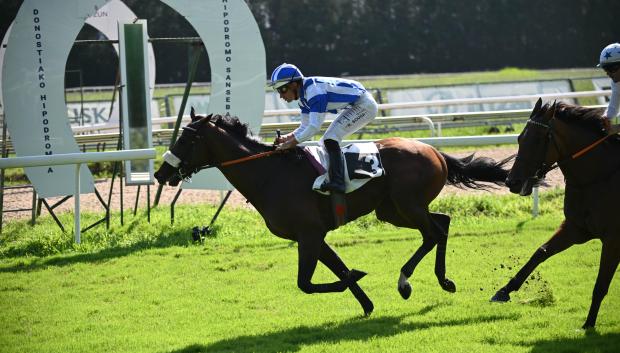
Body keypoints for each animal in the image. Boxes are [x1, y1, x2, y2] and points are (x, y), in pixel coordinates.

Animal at [156, 108, 512, 314]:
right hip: (393, 210)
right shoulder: (313, 235)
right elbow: (337, 270)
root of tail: (434, 151)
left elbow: (306, 282)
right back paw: (443, 280)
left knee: (433, 232)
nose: (161, 173)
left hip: (407, 205)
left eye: (186, 139)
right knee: (442, 223)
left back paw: (407, 282)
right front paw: (366, 303)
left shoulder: (309, 234)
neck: (270, 174)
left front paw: (358, 280)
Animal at [494, 97, 620, 328]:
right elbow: (541, 252)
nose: (511, 182)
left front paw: (589, 324)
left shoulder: (613, 239)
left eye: (537, 140)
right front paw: (504, 291)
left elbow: (600, 284)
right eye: (519, 138)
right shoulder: (576, 228)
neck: (598, 177)